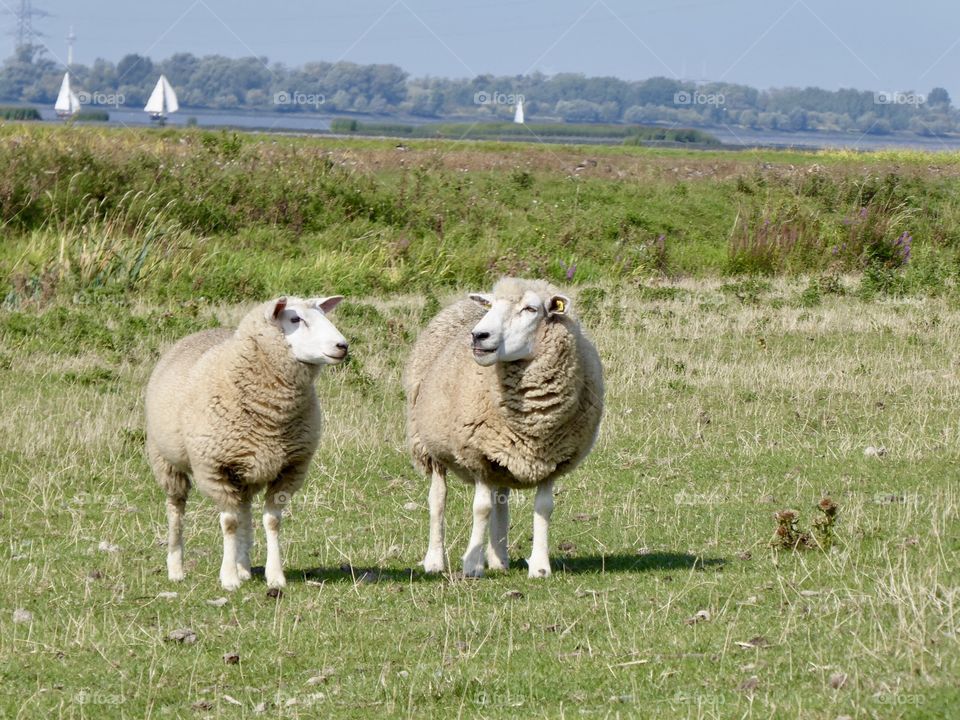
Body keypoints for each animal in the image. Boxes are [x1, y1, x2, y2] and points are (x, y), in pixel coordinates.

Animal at [145, 295, 347, 590]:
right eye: (295, 319)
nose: (343, 346)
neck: (271, 417)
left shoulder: (290, 468)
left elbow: (272, 522)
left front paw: (274, 576)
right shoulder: (214, 468)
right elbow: (229, 523)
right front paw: (228, 578)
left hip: (245, 470)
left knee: (244, 511)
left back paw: (243, 566)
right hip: (166, 461)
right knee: (176, 509)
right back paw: (177, 568)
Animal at [404, 277, 604, 578]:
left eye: (531, 309)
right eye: (492, 306)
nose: (478, 336)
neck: (533, 420)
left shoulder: (552, 460)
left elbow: (544, 508)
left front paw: (540, 567)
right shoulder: (478, 456)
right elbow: (481, 508)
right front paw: (472, 566)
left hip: (503, 456)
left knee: (501, 499)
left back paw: (499, 559)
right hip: (429, 445)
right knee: (438, 500)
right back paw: (435, 560)